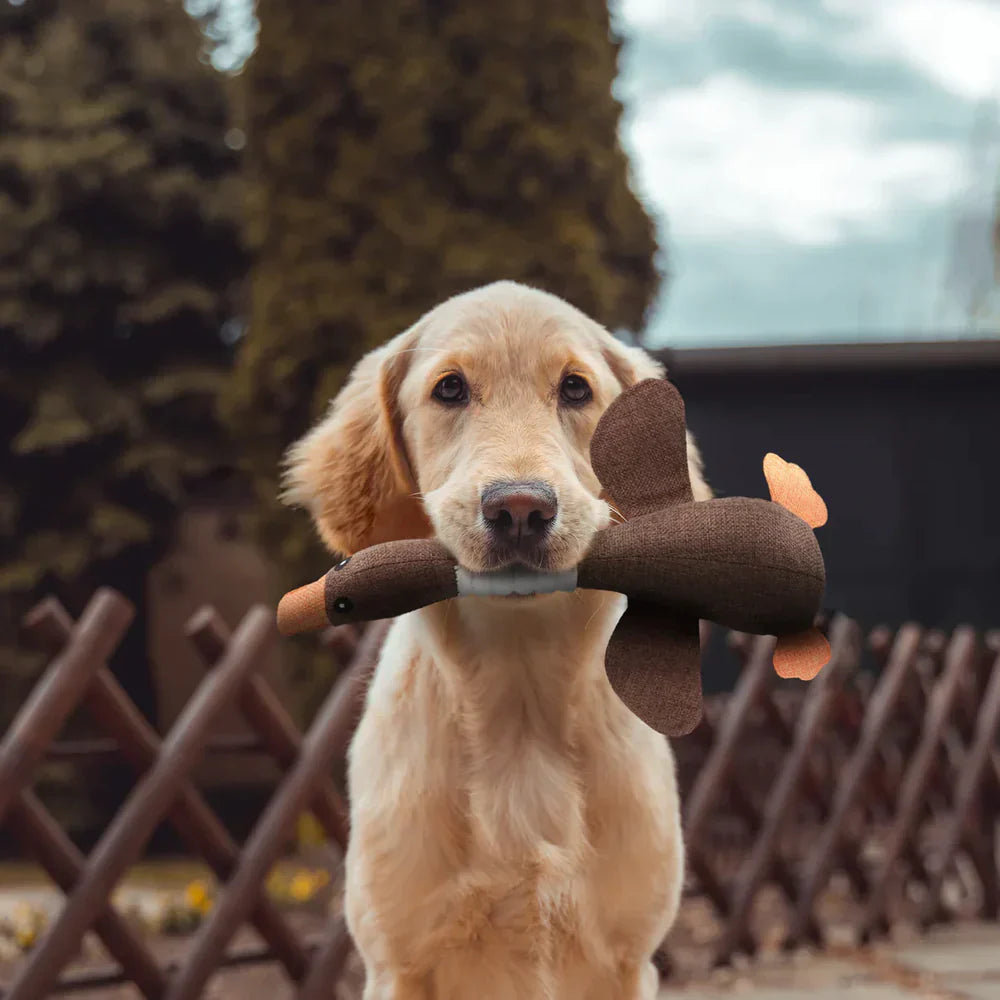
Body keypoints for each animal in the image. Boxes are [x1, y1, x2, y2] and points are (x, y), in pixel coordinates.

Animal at [284, 284, 712, 1000]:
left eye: (575, 388)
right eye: (450, 389)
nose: (520, 509)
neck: (521, 698)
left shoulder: (629, 958)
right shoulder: (397, 961)